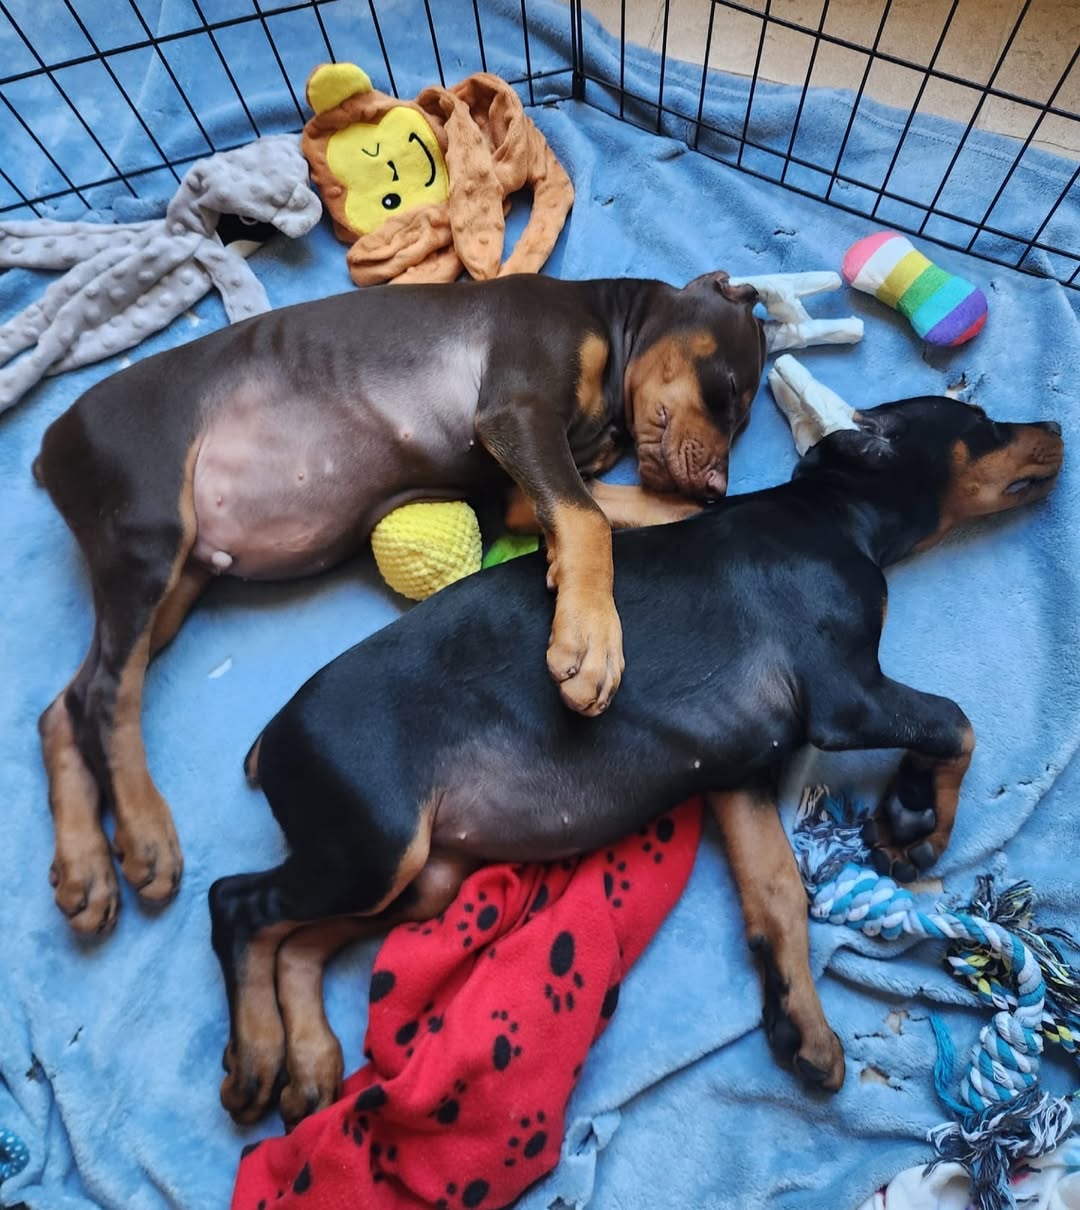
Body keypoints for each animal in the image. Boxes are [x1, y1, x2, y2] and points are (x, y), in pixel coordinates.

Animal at [34, 270, 766, 936]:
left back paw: (85, 869)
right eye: (731, 392)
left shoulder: (520, 489)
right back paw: (145, 834)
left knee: (65, 704)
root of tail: (48, 448)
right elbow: (588, 518)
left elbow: (625, 508)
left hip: (177, 574)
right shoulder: (518, 410)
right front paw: (591, 642)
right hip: (150, 527)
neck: (609, 328)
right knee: (107, 692)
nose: (716, 484)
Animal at [208, 370, 1063, 1128]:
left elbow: (778, 894)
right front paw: (917, 816)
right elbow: (955, 720)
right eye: (983, 423)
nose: (1055, 427)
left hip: (417, 876)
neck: (836, 515)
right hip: (375, 844)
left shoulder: (740, 771)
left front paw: (803, 1026)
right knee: (237, 906)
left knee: (297, 943)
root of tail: (269, 739)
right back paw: (258, 1056)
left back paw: (309, 1061)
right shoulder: (844, 697)